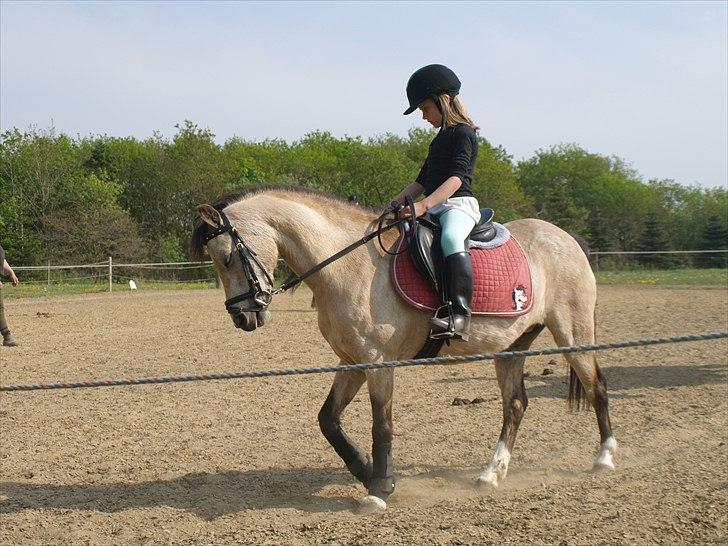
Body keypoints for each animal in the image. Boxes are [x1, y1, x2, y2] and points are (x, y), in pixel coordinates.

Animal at [190, 185, 616, 513]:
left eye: (227, 257)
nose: (243, 317)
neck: (350, 265)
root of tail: (566, 238)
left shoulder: (379, 363)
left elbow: (382, 426)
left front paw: (378, 491)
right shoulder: (352, 361)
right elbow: (328, 420)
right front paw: (367, 472)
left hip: (573, 334)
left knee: (596, 387)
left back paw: (604, 459)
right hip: (511, 347)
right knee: (515, 406)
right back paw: (490, 475)